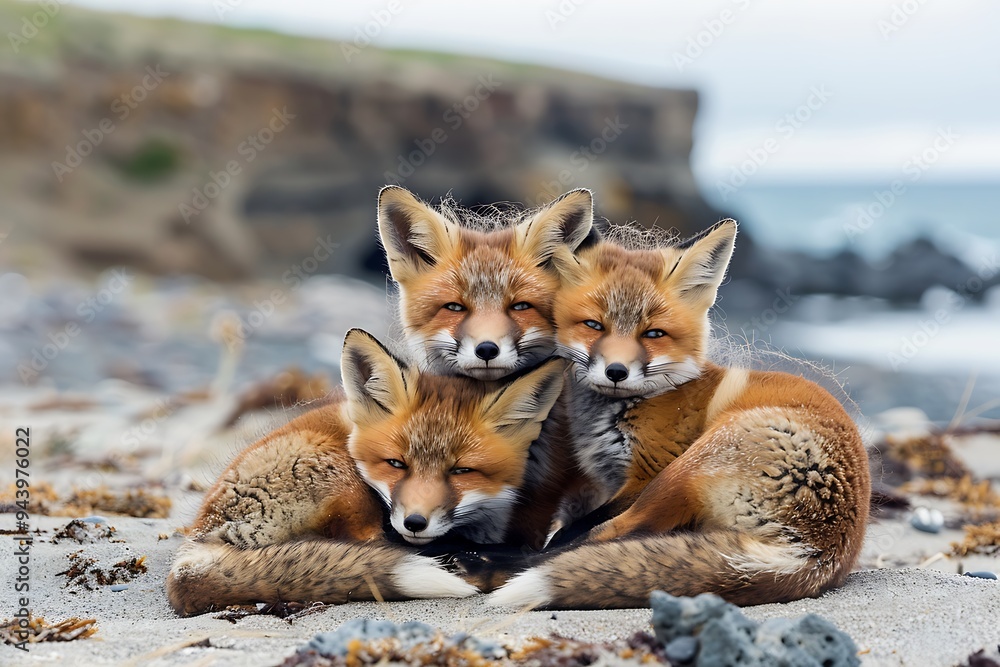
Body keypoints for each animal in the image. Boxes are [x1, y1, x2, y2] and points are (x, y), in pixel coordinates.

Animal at [166, 328, 564, 615]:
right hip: (344, 479)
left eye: (461, 470)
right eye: (396, 464)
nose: (415, 523)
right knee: (371, 545)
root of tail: (197, 540)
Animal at [490, 219, 871, 609]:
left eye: (654, 334)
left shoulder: (644, 474)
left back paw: (490, 562)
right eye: (594, 326)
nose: (616, 372)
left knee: (602, 537)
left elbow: (575, 529)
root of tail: (822, 550)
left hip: (681, 472)